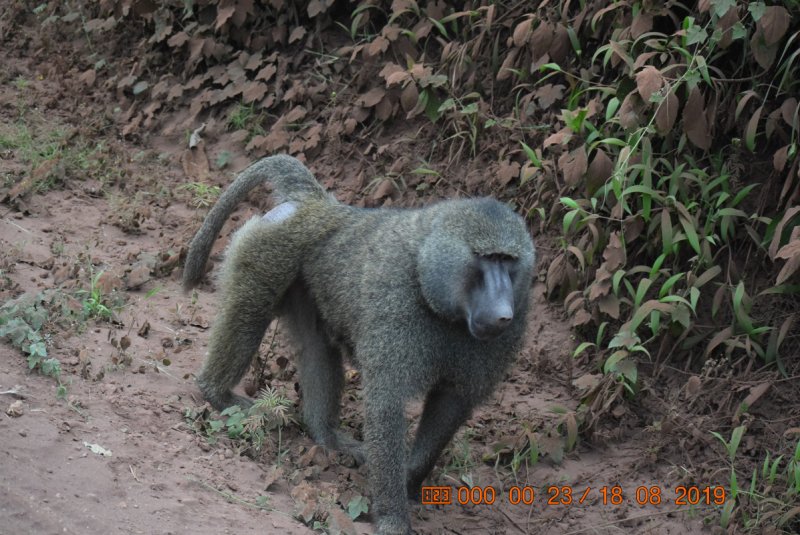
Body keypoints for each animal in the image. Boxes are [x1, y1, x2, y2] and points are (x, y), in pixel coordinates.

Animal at [183, 155, 535, 535]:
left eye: (509, 261)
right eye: (488, 258)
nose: (502, 314)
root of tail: (318, 205)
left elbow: (450, 404)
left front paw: (409, 483)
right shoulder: (395, 301)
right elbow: (386, 405)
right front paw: (393, 518)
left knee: (317, 345)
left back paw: (326, 436)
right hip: (272, 245)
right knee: (251, 311)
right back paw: (218, 394)